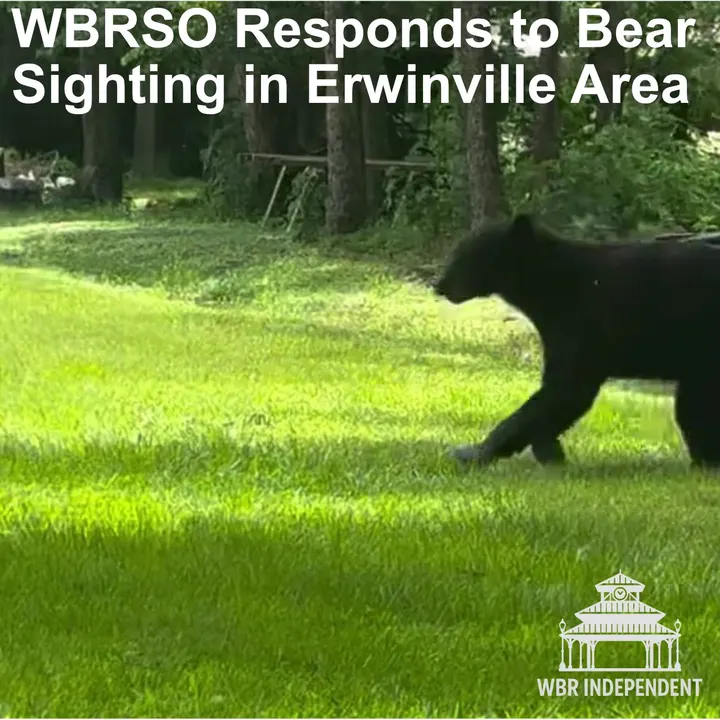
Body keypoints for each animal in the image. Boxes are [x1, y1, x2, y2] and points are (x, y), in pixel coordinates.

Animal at [433, 213, 720, 468]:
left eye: (464, 254)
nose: (439, 285)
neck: (549, 286)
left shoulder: (581, 330)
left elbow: (562, 392)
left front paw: (473, 452)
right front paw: (548, 450)